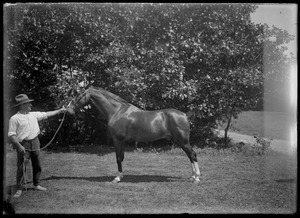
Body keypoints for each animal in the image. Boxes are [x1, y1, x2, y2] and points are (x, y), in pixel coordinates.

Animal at [67, 86, 200, 183]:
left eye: (77, 96)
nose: (68, 110)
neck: (117, 111)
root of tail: (185, 115)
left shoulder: (117, 140)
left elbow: (118, 158)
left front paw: (117, 178)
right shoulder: (123, 141)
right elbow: (122, 157)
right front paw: (121, 176)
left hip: (183, 141)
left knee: (192, 155)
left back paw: (197, 178)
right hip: (182, 142)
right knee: (190, 156)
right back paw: (192, 176)